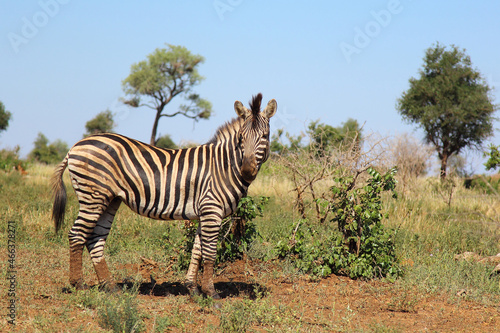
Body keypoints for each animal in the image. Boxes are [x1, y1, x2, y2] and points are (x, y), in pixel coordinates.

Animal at [51, 92, 278, 296]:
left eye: (264, 137)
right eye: (241, 138)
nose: (247, 171)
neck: (224, 166)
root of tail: (75, 147)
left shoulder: (204, 212)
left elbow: (197, 250)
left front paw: (193, 288)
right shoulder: (212, 209)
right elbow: (210, 253)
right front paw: (211, 293)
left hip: (109, 199)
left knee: (95, 239)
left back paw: (111, 287)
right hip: (93, 196)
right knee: (77, 234)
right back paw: (78, 285)